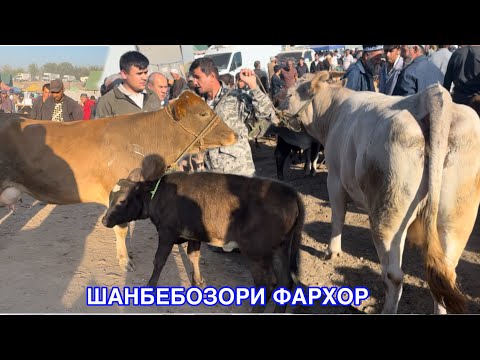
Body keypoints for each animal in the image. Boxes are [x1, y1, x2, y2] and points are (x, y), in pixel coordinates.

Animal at [280, 71, 480, 314]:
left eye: (290, 94)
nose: (277, 104)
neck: (333, 112)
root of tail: (431, 96)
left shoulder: (335, 178)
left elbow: (338, 215)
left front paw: (332, 251)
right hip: (456, 217)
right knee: (444, 277)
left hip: (389, 213)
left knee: (394, 276)